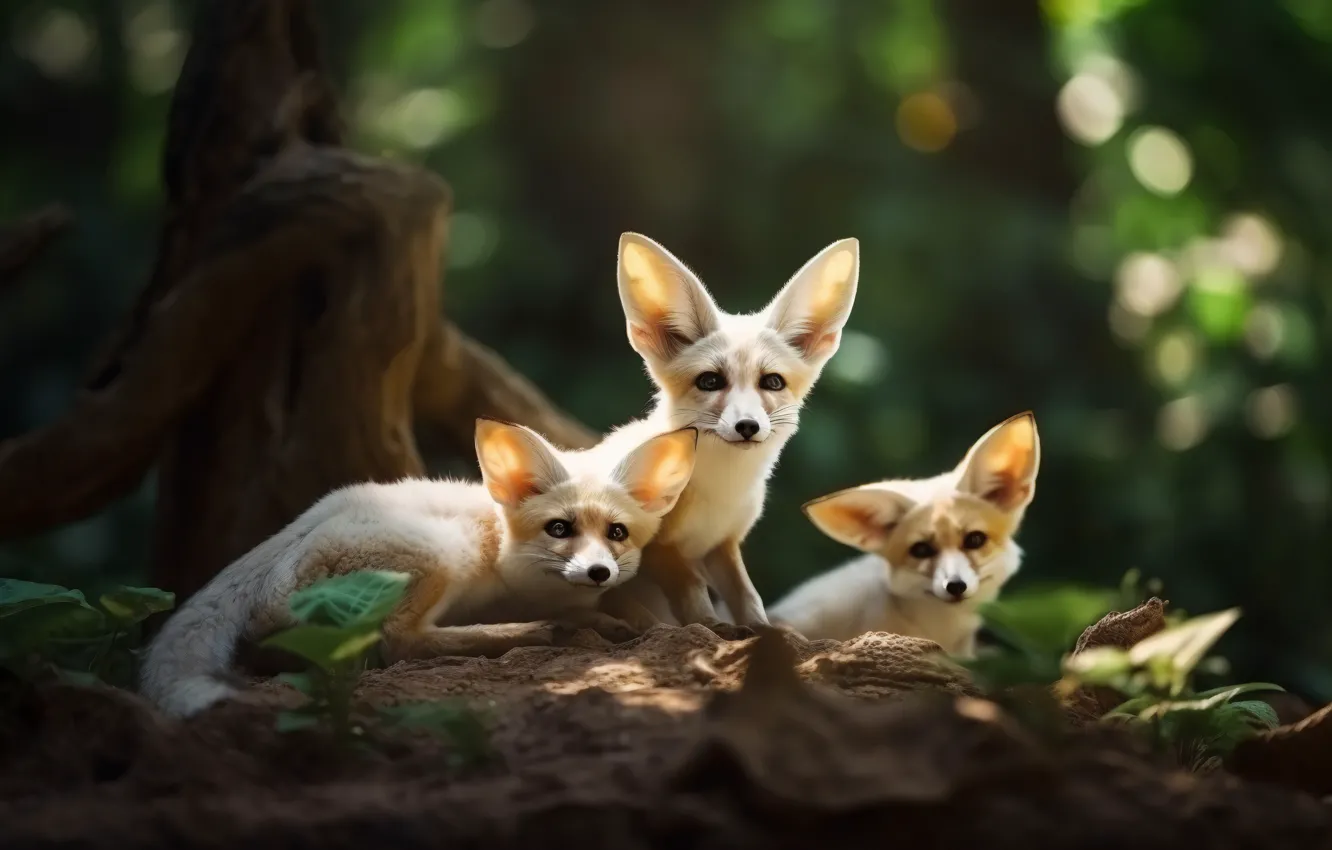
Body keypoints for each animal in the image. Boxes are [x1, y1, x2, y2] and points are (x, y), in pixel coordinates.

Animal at [139, 418, 699, 718]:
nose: (598, 572)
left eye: (617, 533)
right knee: (400, 643)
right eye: (559, 529)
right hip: (442, 552)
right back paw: (540, 633)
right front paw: (585, 622)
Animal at [592, 232, 860, 634]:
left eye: (772, 382)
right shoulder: (658, 547)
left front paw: (762, 630)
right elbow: (691, 587)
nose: (747, 426)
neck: (720, 493)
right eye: (710, 381)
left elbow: (747, 594)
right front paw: (707, 625)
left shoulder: (722, 543)